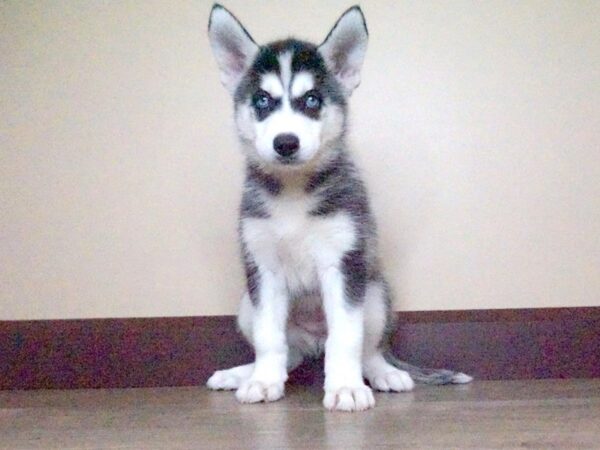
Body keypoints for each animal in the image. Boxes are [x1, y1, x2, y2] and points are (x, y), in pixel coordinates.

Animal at [206, 3, 474, 412]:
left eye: (312, 100)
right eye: (263, 101)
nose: (286, 142)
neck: (294, 192)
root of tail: (312, 343)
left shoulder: (344, 263)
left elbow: (346, 336)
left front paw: (345, 387)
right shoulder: (263, 270)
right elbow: (270, 337)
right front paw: (263, 380)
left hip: (374, 293)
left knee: (368, 349)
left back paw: (383, 373)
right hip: (246, 306)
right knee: (289, 353)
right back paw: (244, 373)